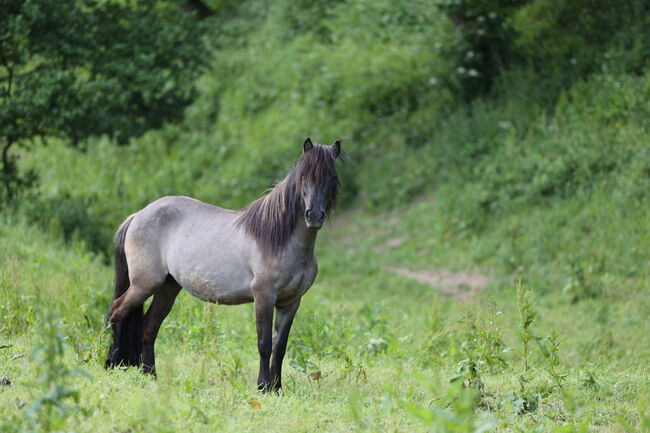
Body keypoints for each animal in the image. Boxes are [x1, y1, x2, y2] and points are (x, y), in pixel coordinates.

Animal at [104, 138, 342, 392]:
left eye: (332, 177)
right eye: (304, 175)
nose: (313, 215)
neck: (278, 239)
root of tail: (137, 215)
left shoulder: (291, 303)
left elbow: (280, 348)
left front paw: (277, 388)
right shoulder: (264, 296)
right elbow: (264, 344)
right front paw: (263, 387)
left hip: (167, 288)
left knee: (149, 327)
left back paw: (151, 376)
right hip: (144, 284)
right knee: (116, 313)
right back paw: (110, 364)